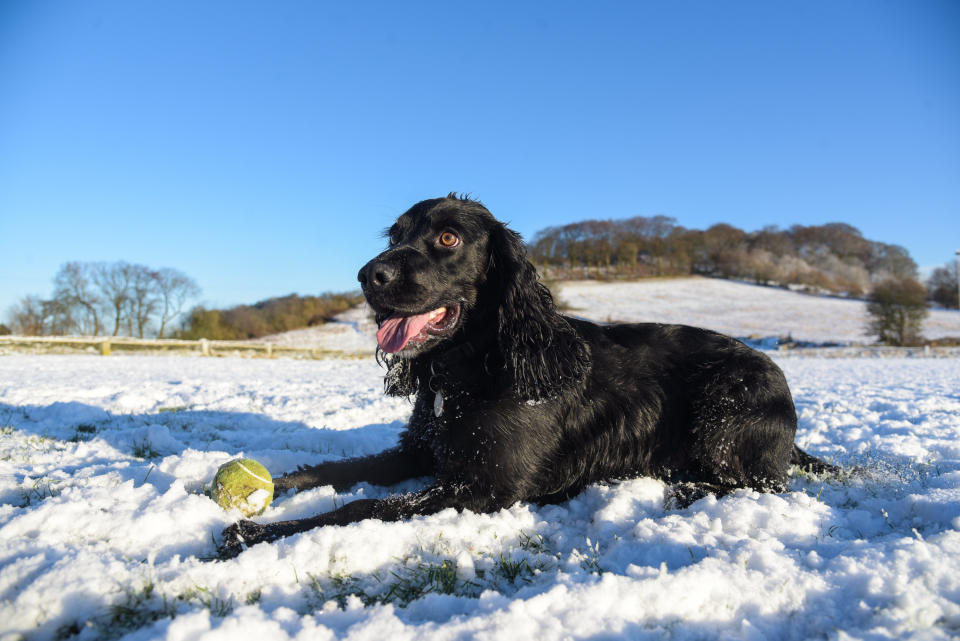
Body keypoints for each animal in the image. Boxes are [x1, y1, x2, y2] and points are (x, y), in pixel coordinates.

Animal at [221, 194, 828, 556]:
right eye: (393, 235)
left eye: (448, 238)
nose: (370, 275)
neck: (470, 370)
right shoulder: (420, 453)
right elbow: (336, 470)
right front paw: (268, 486)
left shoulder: (485, 485)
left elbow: (362, 505)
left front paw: (254, 531)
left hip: (726, 411)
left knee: (764, 481)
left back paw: (689, 486)